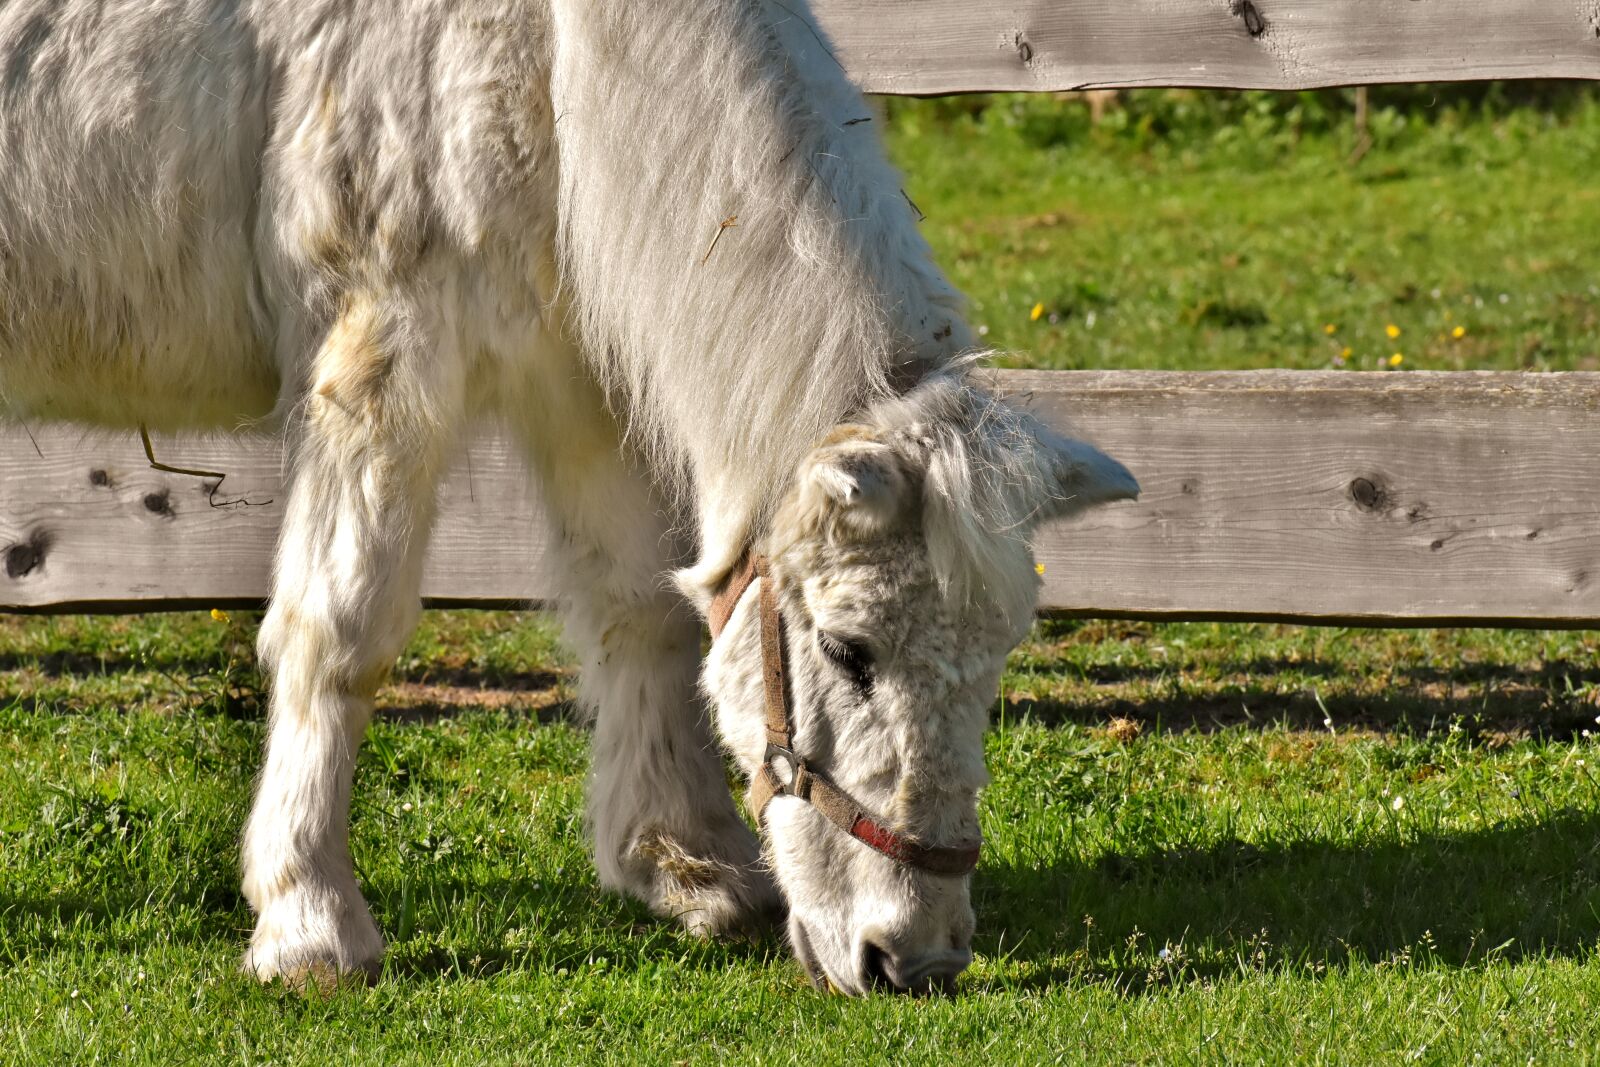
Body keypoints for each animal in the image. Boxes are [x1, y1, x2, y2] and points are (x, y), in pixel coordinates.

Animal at [0, 0, 1138, 994]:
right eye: (850, 650)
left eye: (996, 659)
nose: (914, 957)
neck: (558, 55)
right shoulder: (386, 355)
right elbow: (342, 630)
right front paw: (311, 923)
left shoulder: (576, 376)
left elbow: (643, 609)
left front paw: (689, 865)